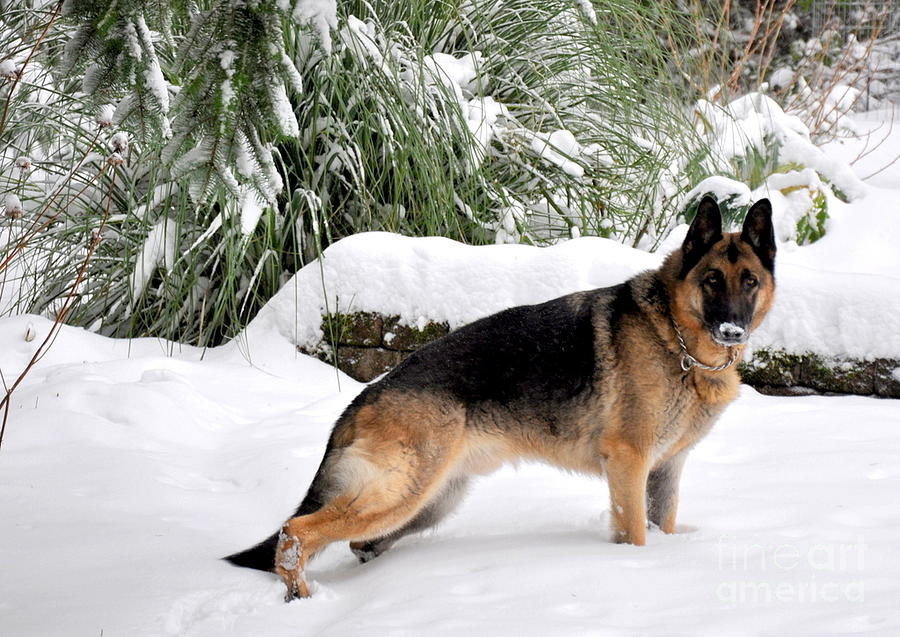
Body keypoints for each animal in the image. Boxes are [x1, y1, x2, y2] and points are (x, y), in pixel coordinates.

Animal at [223, 196, 772, 600]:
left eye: (750, 281)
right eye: (711, 280)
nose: (732, 330)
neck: (677, 342)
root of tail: (364, 397)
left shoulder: (665, 470)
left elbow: (662, 524)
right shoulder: (629, 464)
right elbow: (635, 532)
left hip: (432, 502)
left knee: (357, 541)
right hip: (401, 493)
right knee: (297, 531)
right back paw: (302, 597)